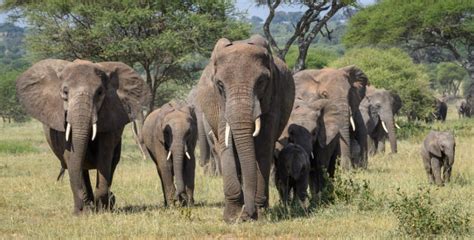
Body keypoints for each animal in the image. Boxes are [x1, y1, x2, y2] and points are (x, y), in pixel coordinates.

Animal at [16, 58, 150, 214]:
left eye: (99, 92)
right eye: (65, 92)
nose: (81, 205)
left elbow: (104, 156)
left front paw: (102, 208)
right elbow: (71, 156)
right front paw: (83, 211)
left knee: (112, 162)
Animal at [194, 34, 294, 222]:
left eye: (261, 81)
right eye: (220, 84)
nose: (248, 214)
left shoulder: (273, 97)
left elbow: (263, 145)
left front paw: (260, 214)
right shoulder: (219, 104)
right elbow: (226, 145)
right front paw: (233, 218)